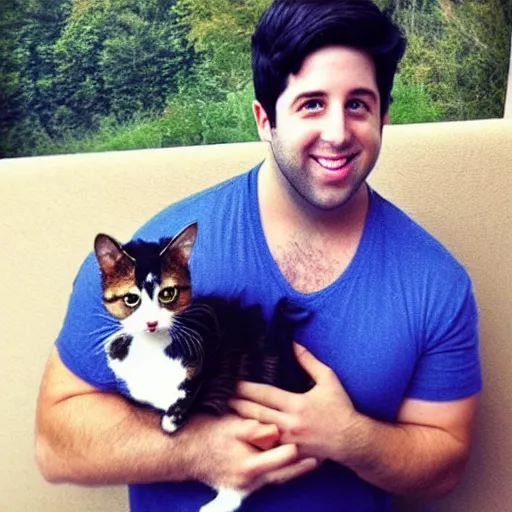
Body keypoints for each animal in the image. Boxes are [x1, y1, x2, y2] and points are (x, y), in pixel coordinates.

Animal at [94, 222, 314, 512]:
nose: (151, 322)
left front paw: (173, 419)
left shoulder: (215, 342)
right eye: (131, 299)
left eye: (168, 294)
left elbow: (196, 383)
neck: (152, 348)